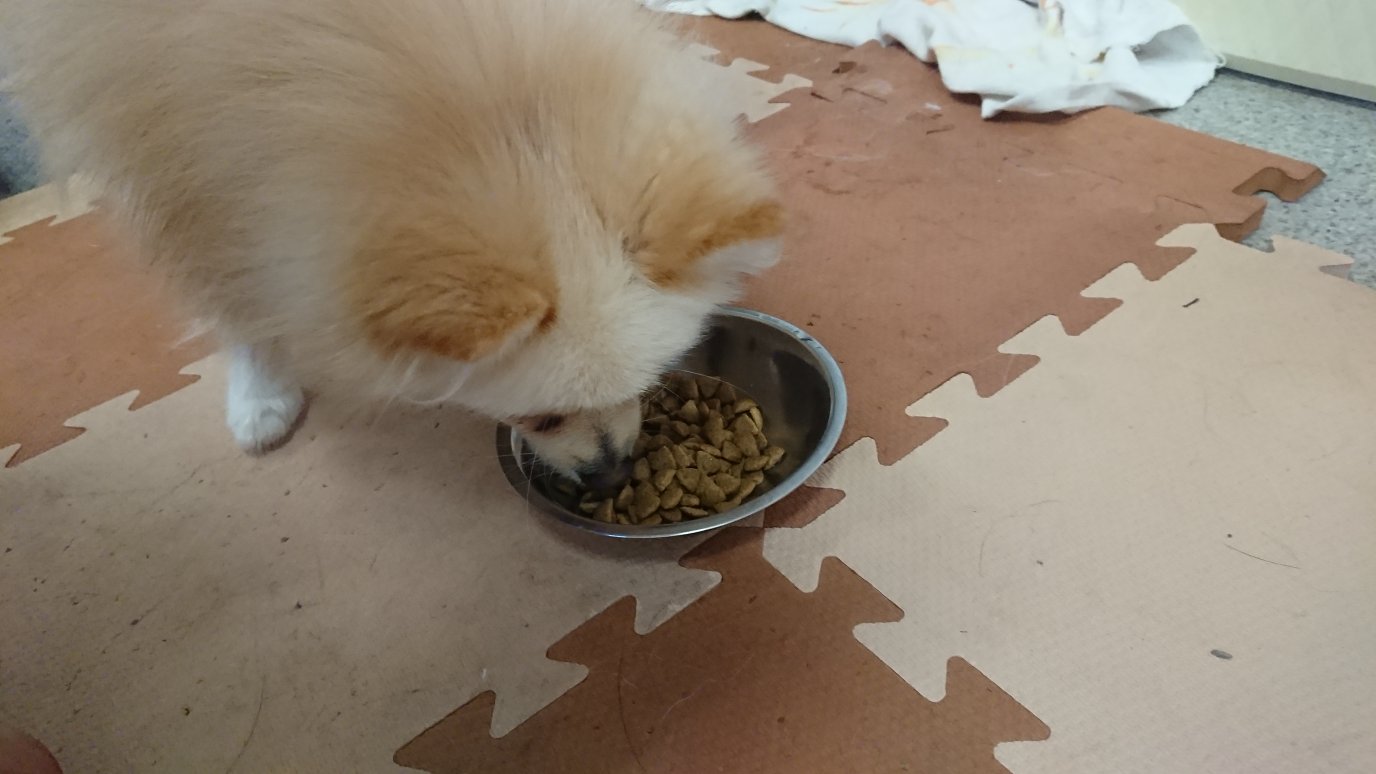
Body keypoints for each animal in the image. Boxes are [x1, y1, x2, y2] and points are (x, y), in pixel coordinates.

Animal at [0, 0, 782, 489]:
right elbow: (233, 292)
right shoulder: (174, 157)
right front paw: (261, 390)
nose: (615, 473)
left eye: (654, 383)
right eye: (539, 418)